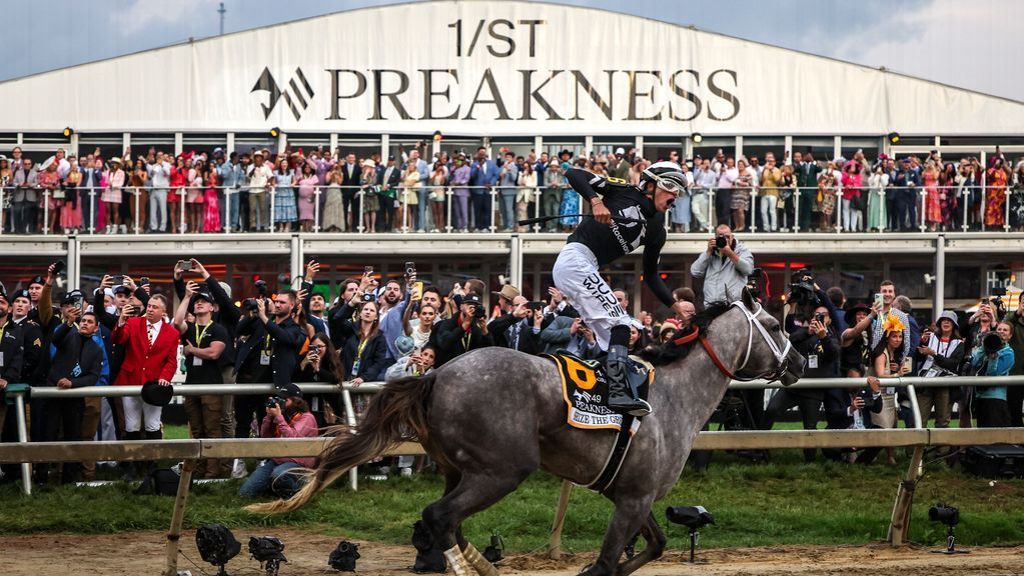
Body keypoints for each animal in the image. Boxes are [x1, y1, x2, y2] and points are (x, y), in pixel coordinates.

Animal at [247, 291, 798, 573]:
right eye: (773, 323)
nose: (794, 364)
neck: (672, 399)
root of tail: (435, 374)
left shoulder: (632, 495)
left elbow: (656, 546)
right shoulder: (633, 498)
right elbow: (606, 564)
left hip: (459, 470)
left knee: (445, 522)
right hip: (503, 471)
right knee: (440, 516)